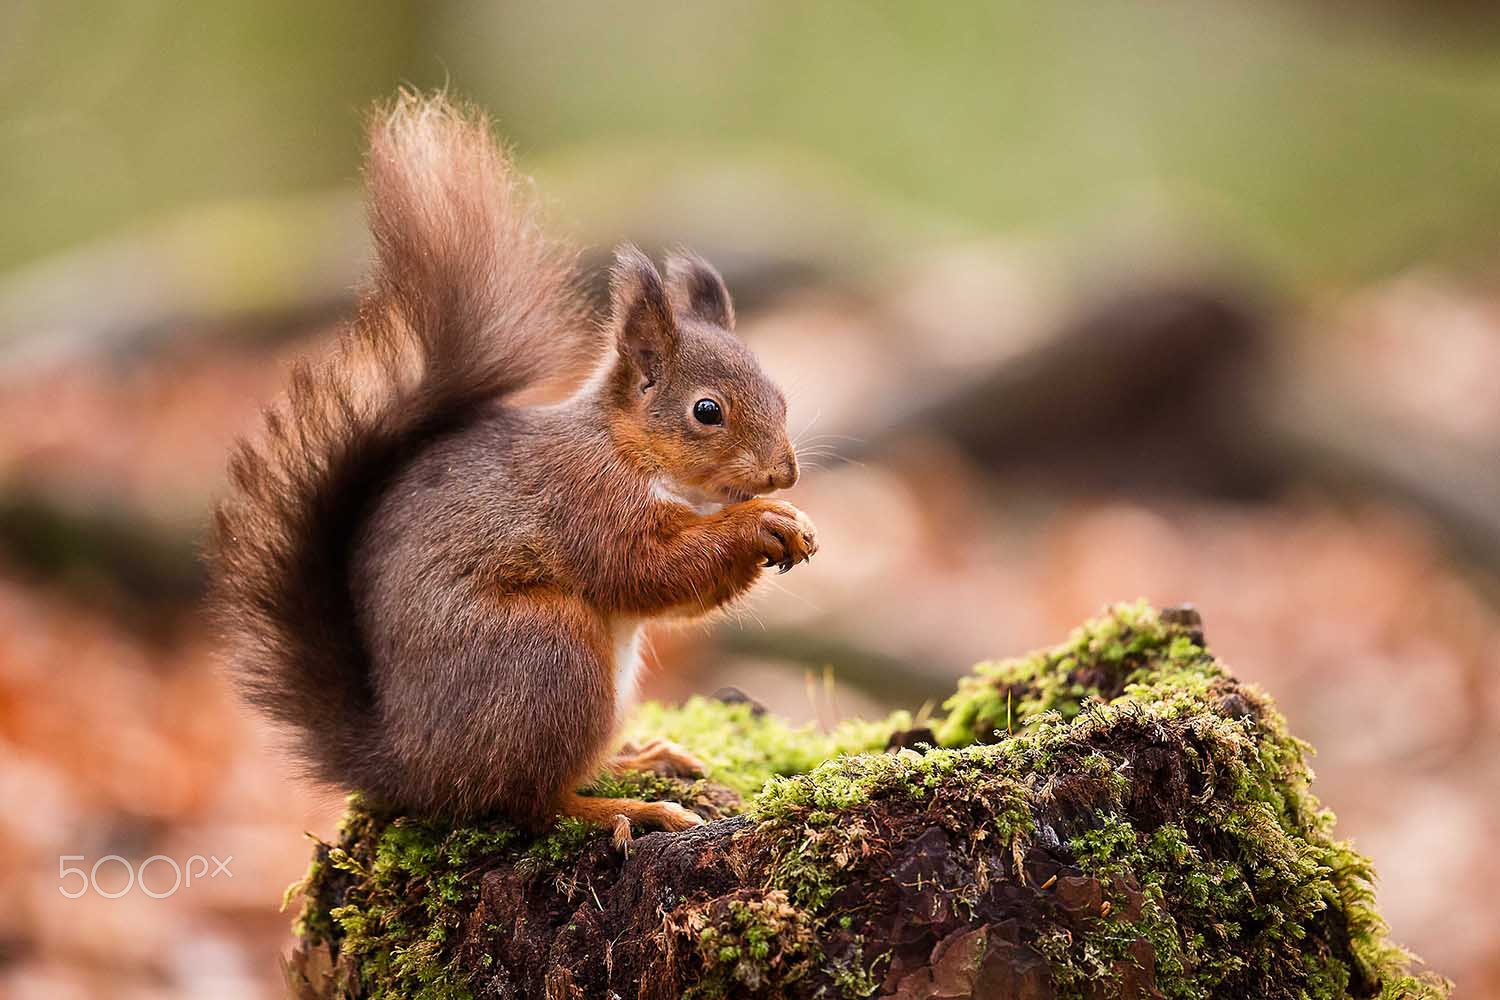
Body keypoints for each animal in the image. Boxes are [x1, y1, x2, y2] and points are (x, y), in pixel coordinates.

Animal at [207, 93, 816, 845]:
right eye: (707, 411)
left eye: (781, 396)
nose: (783, 475)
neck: (632, 452)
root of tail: (411, 764)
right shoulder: (583, 499)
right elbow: (642, 570)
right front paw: (760, 522)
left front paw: (793, 522)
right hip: (547, 654)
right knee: (529, 801)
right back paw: (623, 807)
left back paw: (643, 757)